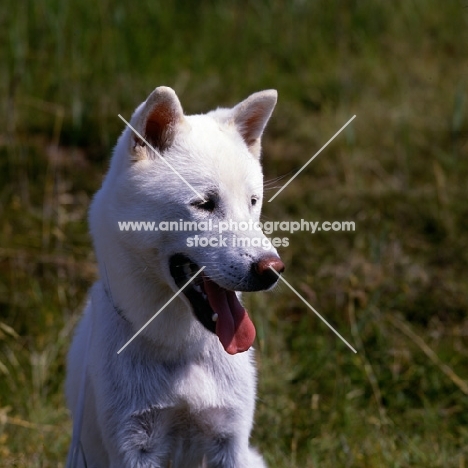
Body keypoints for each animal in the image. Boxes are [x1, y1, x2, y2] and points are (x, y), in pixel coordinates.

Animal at [66, 86, 286, 466]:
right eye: (204, 204)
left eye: (253, 202)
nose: (272, 270)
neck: (182, 354)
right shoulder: (134, 446)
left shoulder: (230, 441)